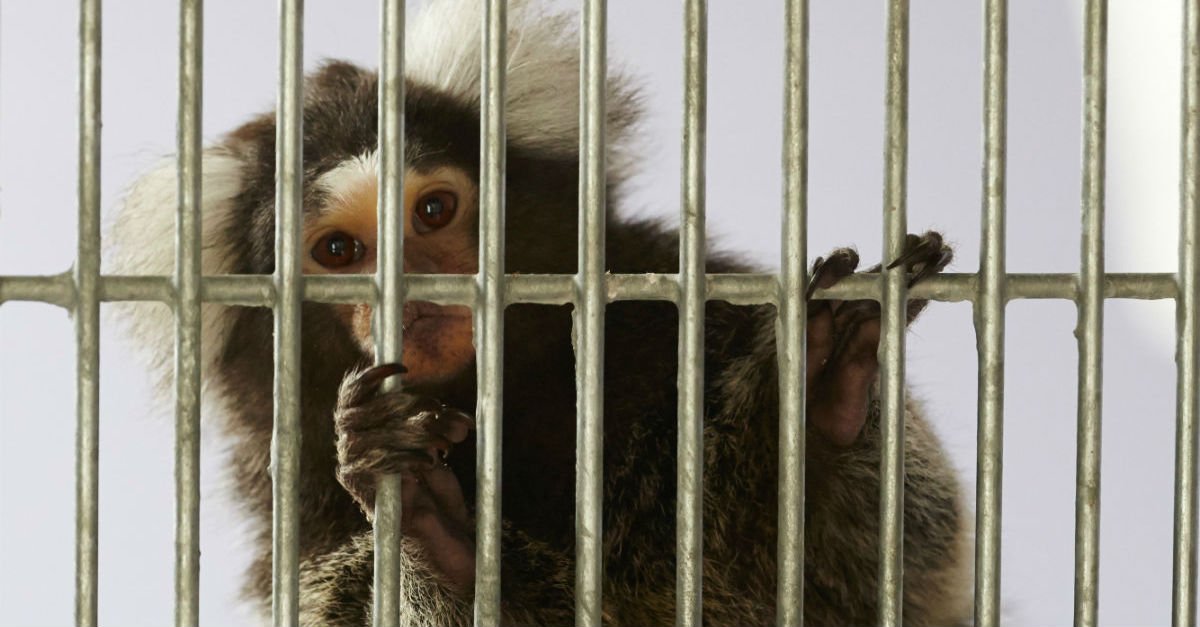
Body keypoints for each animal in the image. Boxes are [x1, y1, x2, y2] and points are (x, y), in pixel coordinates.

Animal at [107, 0, 973, 625]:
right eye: (340, 251)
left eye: (433, 209)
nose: (414, 290)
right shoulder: (298, 514)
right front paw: (430, 532)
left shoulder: (685, 309)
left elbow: (892, 565)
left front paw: (817, 402)